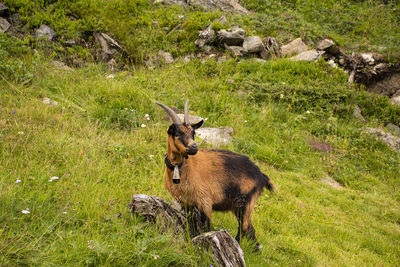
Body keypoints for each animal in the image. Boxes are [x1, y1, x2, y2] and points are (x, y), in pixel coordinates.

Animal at [155, 101, 274, 249]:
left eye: (193, 133)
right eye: (178, 133)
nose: (194, 147)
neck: (183, 169)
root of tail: (261, 175)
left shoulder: (205, 200)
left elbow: (206, 226)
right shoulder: (186, 202)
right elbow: (191, 225)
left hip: (246, 202)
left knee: (244, 228)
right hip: (239, 205)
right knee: (251, 230)